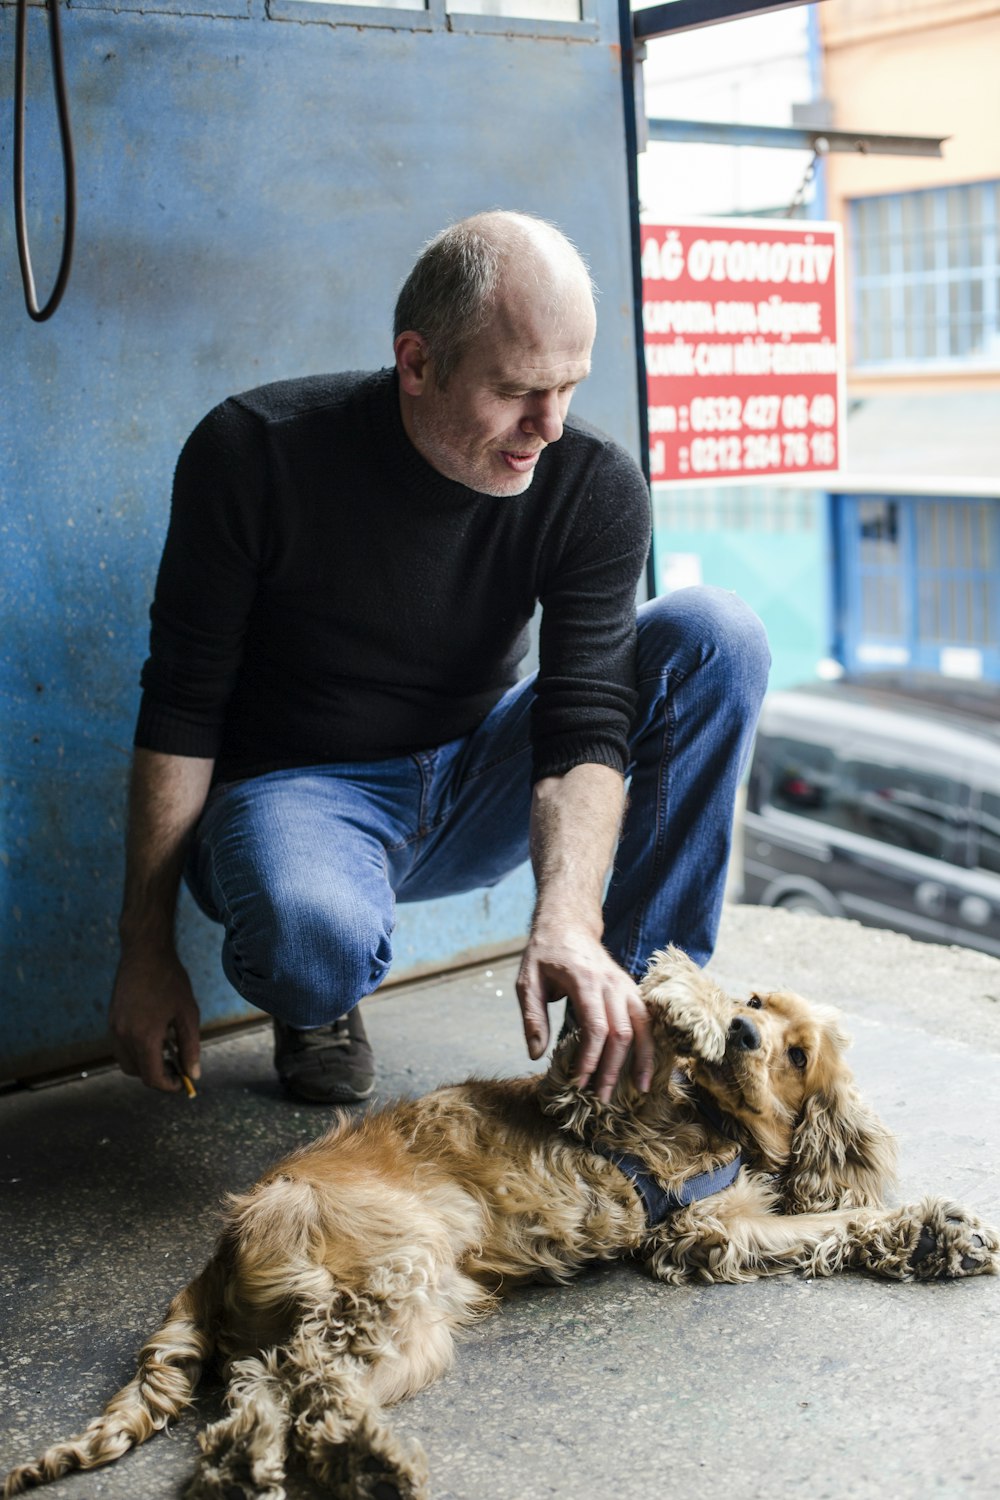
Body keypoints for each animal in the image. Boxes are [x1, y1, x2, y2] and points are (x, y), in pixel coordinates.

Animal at [3, 948, 995, 1500]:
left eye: (794, 1054)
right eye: (755, 1003)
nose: (745, 1034)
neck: (715, 1127)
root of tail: (216, 1254)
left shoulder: (706, 1232)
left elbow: (821, 1225)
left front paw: (936, 1232)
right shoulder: (593, 1099)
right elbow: (627, 1024)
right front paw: (687, 998)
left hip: (380, 1315)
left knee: (267, 1399)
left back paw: (299, 1463)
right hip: (389, 1284)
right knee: (305, 1385)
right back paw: (361, 1461)